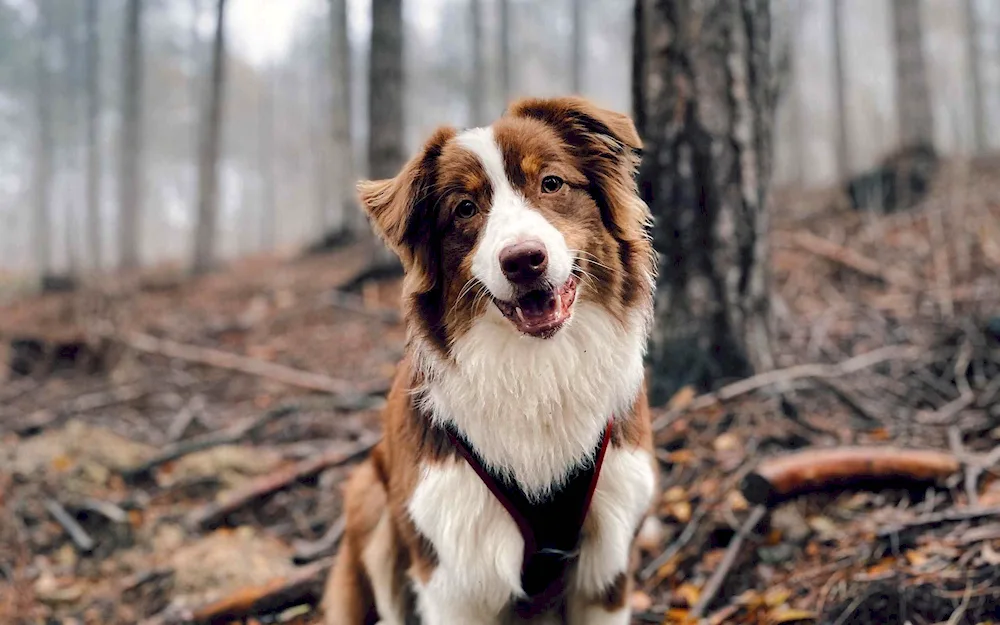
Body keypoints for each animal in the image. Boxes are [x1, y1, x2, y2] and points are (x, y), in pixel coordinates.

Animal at [324, 97, 660, 624]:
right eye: (464, 208)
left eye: (551, 183)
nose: (523, 261)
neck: (537, 371)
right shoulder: (452, 572)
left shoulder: (608, 564)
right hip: (370, 504)